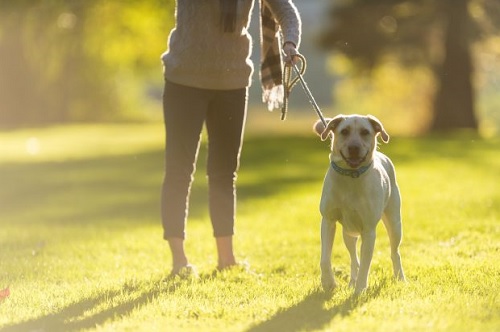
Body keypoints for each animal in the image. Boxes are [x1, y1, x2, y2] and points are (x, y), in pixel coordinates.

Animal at [316, 114, 406, 294]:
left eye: (365, 132)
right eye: (344, 131)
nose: (354, 148)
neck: (351, 176)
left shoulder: (369, 230)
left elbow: (366, 264)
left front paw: (359, 290)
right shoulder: (328, 220)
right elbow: (325, 258)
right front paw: (328, 282)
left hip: (394, 224)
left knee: (395, 252)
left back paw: (400, 278)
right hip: (348, 233)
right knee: (353, 258)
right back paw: (352, 280)